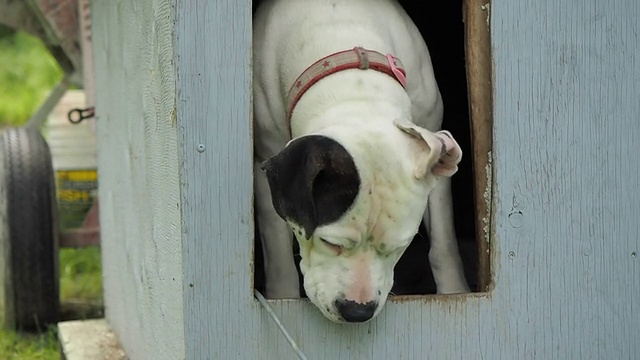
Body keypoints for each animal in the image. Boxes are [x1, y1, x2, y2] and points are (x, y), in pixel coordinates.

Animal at [254, 0, 470, 324]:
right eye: (330, 243)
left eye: (399, 247)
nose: (357, 311)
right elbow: (279, 259)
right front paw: (283, 299)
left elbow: (444, 245)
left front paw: (455, 292)